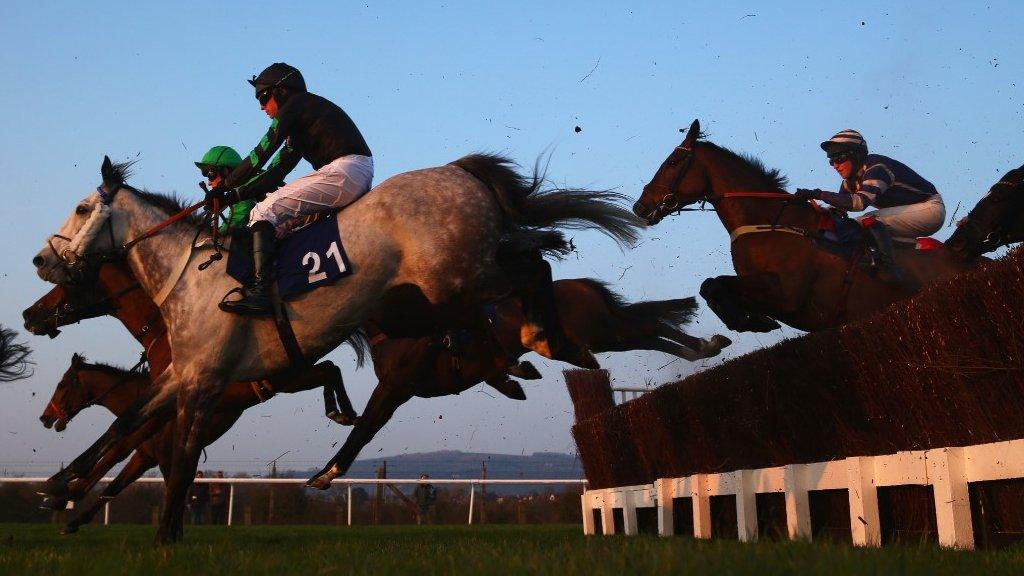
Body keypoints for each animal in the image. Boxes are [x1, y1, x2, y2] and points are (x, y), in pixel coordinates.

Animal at [32, 152, 638, 537]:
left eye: (82, 208)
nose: (41, 262)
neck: (191, 279)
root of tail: (457, 171)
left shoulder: (205, 384)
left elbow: (177, 461)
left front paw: (164, 536)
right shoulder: (184, 375)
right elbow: (125, 425)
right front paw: (60, 485)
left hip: (459, 277)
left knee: (536, 264)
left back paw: (548, 335)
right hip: (458, 280)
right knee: (533, 256)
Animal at [630, 117, 974, 332]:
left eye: (673, 162)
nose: (640, 206)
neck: (772, 223)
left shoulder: (787, 294)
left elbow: (716, 284)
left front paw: (752, 320)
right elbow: (709, 285)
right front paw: (748, 320)